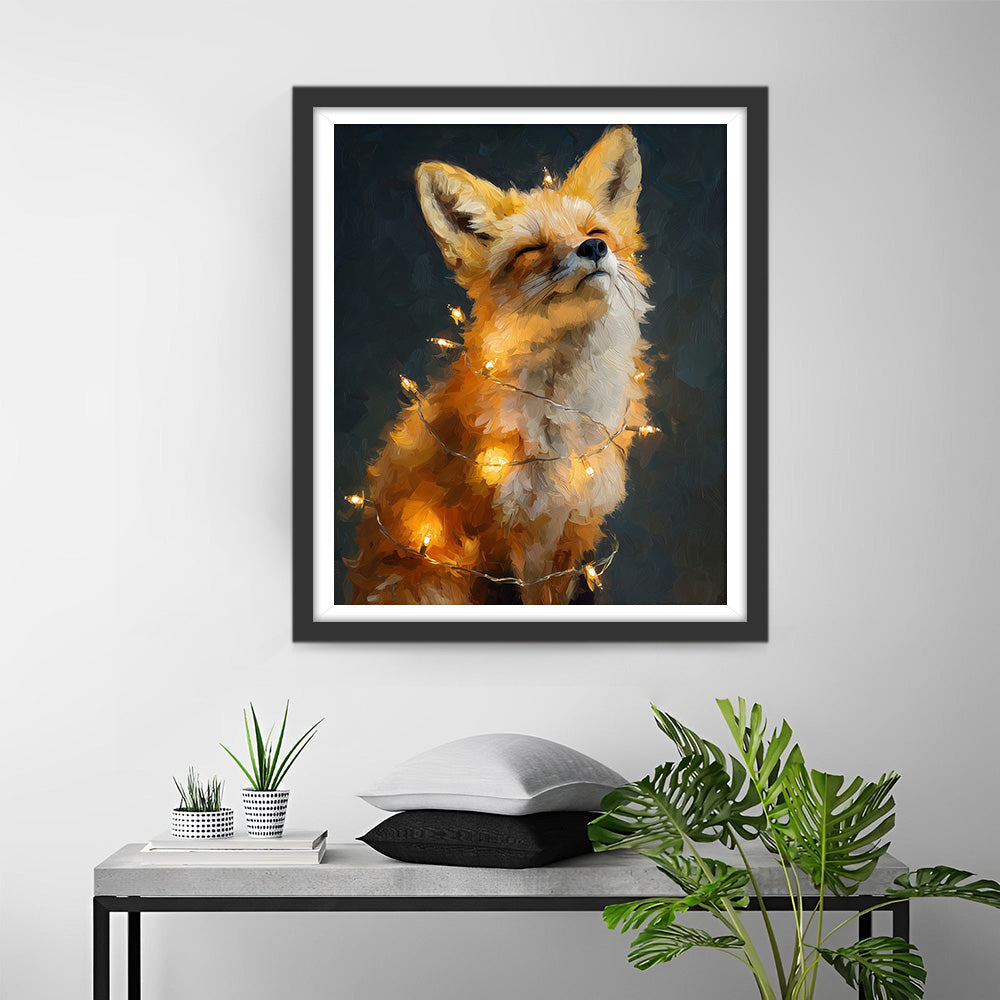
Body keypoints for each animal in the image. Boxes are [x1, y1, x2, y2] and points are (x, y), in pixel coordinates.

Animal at [345, 126, 654, 605]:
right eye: (531, 249)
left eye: (595, 230)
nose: (594, 248)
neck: (562, 415)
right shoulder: (495, 549)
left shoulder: (572, 536)